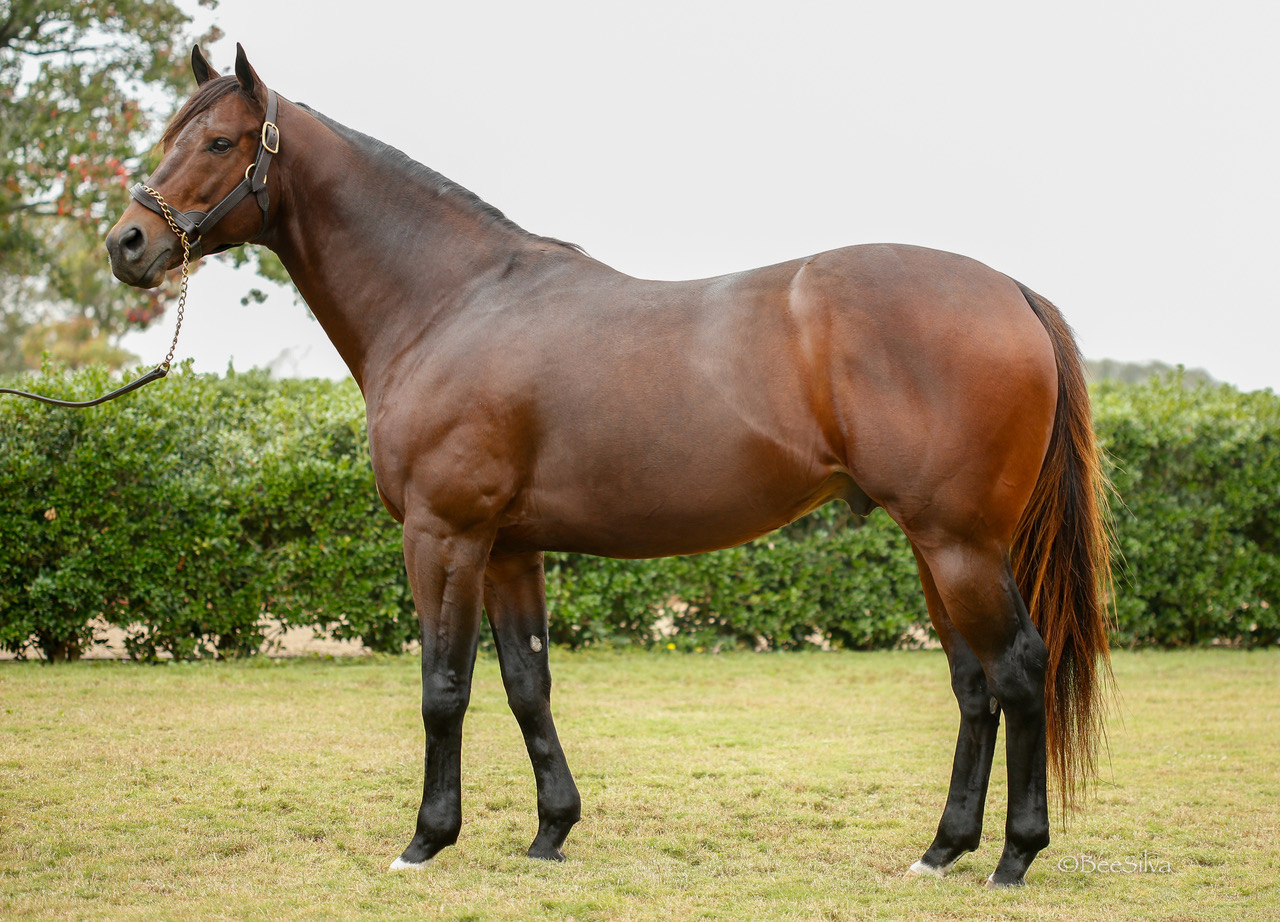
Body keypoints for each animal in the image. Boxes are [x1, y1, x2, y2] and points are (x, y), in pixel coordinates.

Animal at [105, 44, 1112, 887]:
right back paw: (942, 850)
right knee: (974, 685)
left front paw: (426, 840)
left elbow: (443, 688)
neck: (450, 301)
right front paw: (551, 831)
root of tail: (1008, 291)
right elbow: (526, 684)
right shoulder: (510, 548)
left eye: (221, 141)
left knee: (1018, 667)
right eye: (165, 137)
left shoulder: (444, 535)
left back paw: (1013, 858)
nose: (128, 246)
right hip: (936, 546)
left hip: (959, 543)